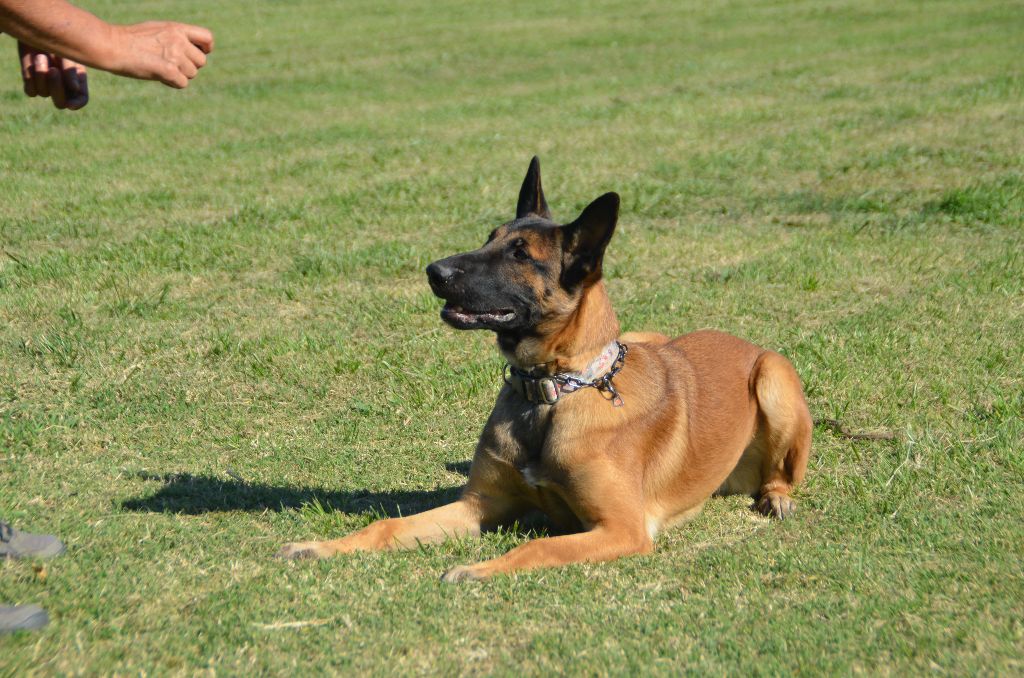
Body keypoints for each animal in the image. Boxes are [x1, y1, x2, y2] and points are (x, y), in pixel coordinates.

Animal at [278, 159, 806, 585]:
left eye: (520, 254)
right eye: (488, 238)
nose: (434, 271)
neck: (552, 392)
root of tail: (741, 341)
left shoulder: (621, 529)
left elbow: (536, 545)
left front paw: (478, 569)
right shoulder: (480, 505)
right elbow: (386, 524)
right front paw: (320, 546)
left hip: (774, 378)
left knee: (783, 471)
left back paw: (776, 498)